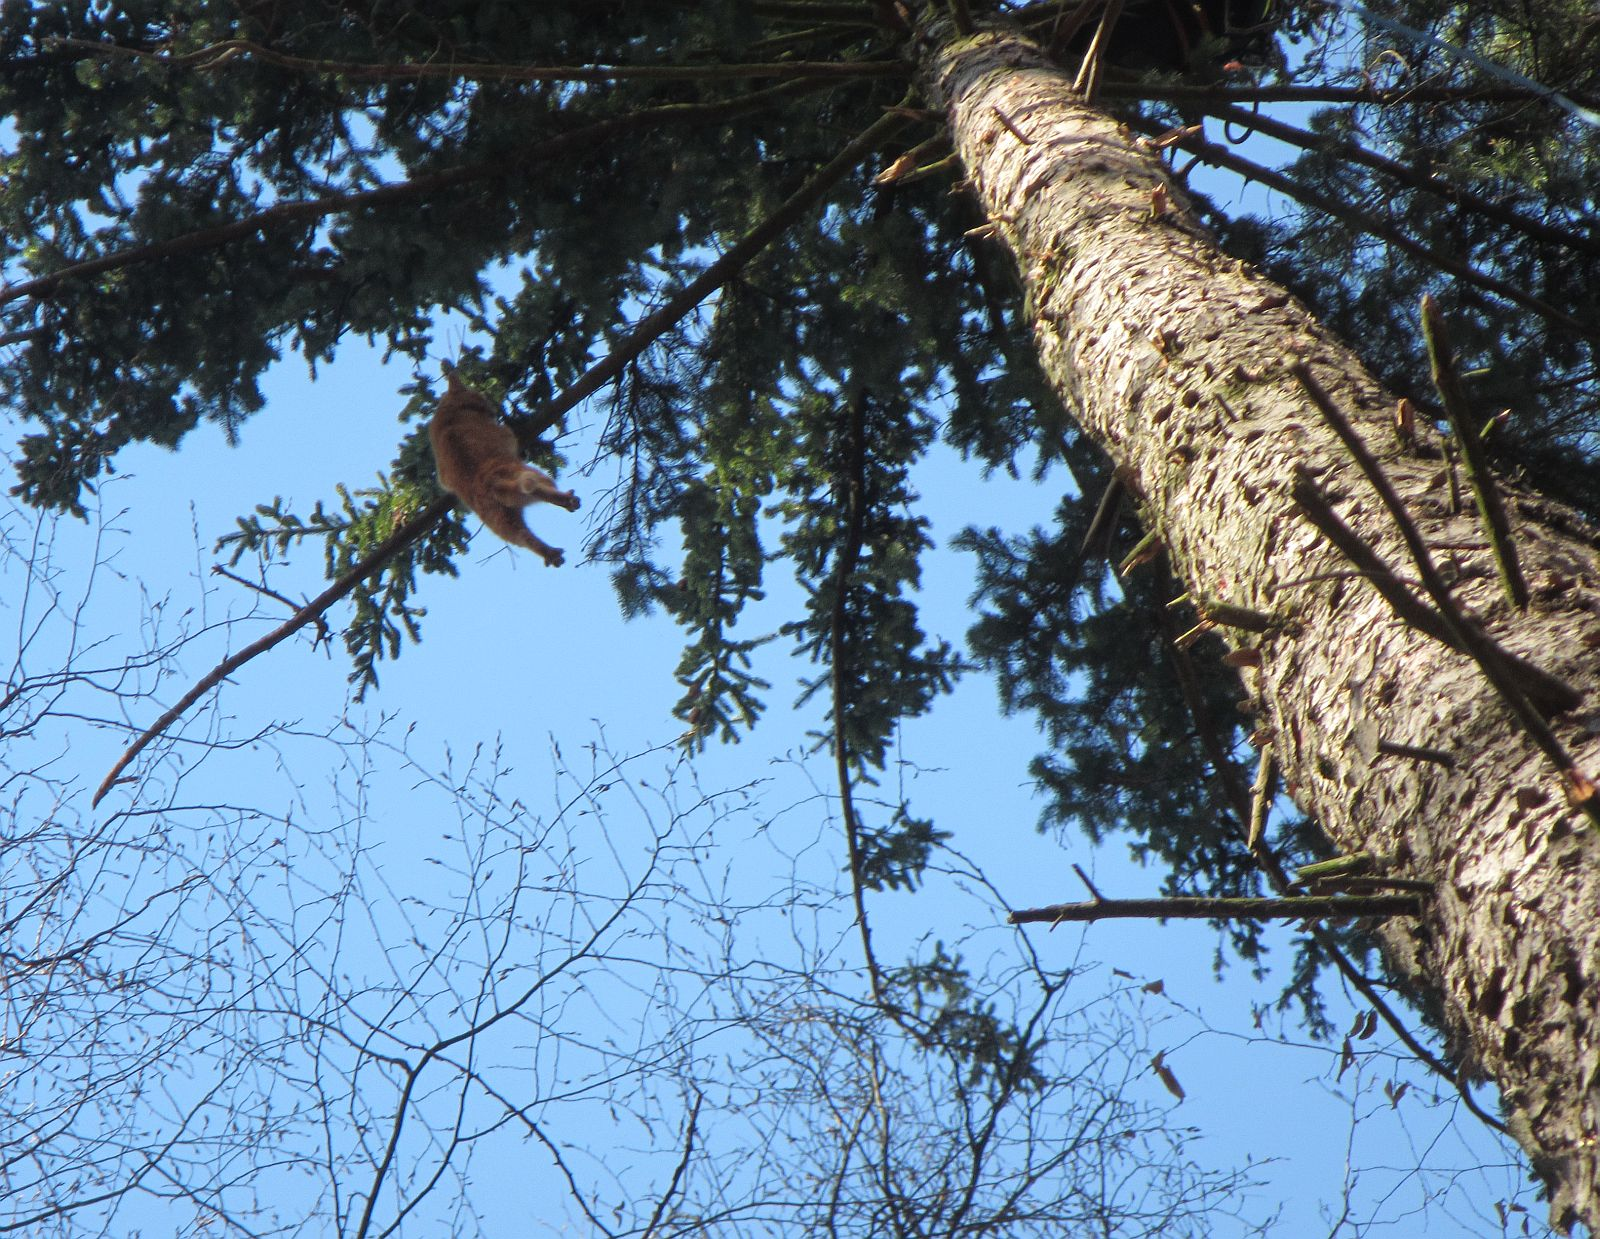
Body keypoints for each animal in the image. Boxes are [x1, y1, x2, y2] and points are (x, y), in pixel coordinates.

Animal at [425, 371, 582, 569]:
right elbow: (509, 434)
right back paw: (566, 500)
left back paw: (549, 552)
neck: (449, 412)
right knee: (542, 489)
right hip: (528, 475)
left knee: (523, 536)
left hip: (499, 520)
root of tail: (490, 484)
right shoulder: (505, 434)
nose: (492, 408)